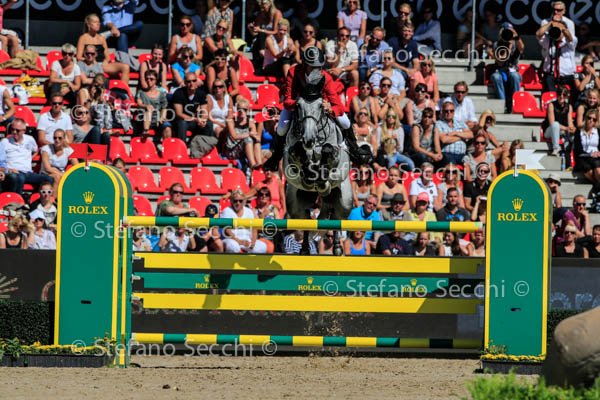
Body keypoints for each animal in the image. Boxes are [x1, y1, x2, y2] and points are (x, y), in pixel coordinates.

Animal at [283, 96, 353, 254]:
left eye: (321, 105)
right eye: (298, 105)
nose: (308, 139)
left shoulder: (337, 157)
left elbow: (329, 152)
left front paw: (321, 173)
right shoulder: (290, 157)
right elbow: (296, 153)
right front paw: (309, 174)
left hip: (344, 201)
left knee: (336, 218)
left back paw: (337, 248)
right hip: (295, 205)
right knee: (306, 219)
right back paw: (304, 250)